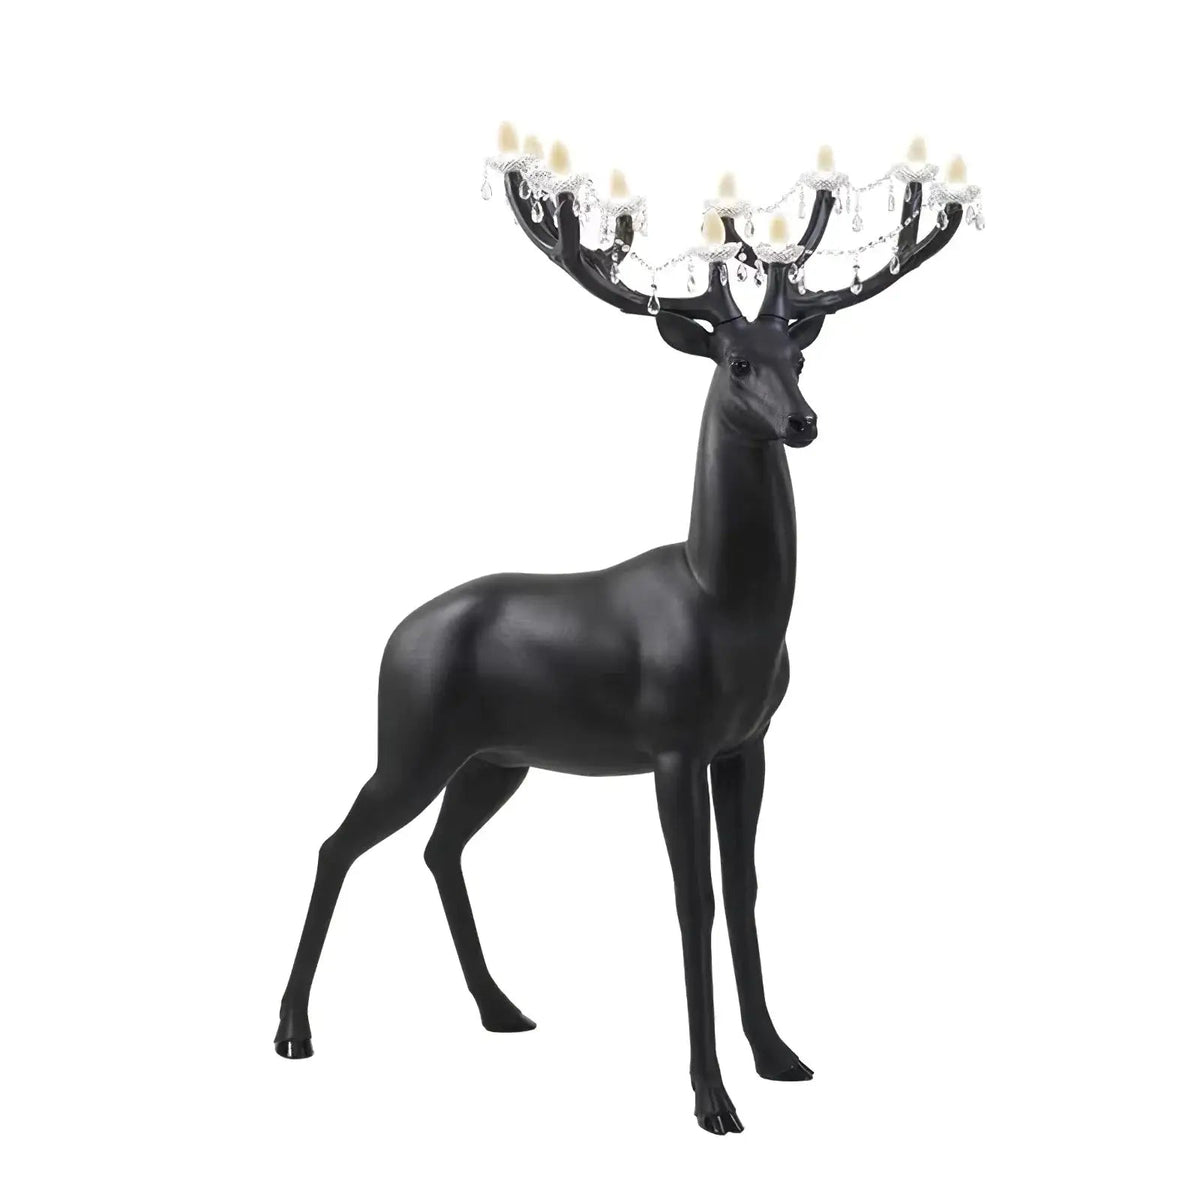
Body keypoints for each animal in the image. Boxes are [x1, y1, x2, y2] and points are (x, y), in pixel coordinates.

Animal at [274, 140, 965, 1135]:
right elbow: (692, 898)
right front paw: (712, 1098)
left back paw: (502, 1008)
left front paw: (779, 1056)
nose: (803, 422)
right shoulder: (672, 743)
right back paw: (293, 1031)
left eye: (797, 357)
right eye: (736, 364)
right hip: (409, 739)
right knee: (337, 843)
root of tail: (393, 637)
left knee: (439, 849)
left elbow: (746, 888)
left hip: (497, 758)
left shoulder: (748, 742)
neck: (725, 604)